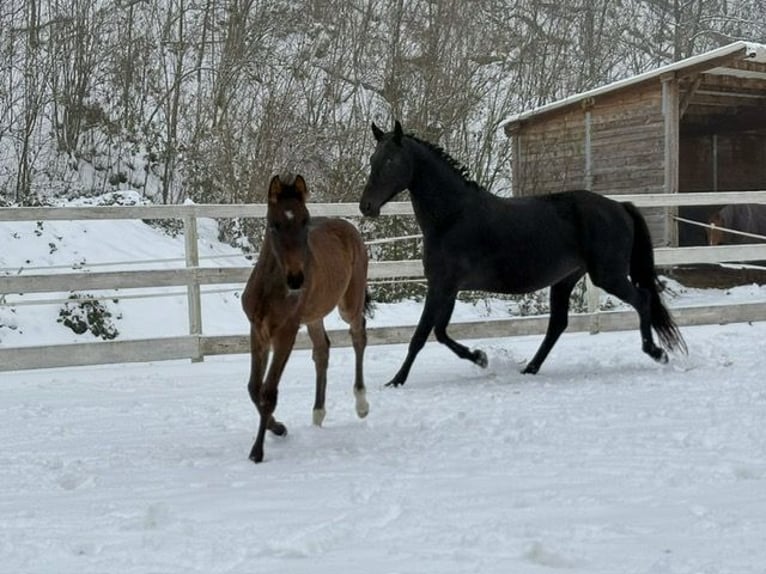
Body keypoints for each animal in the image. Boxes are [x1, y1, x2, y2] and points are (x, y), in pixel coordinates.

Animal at [242, 174, 371, 463]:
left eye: (305, 220)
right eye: (274, 224)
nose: (296, 280)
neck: (271, 288)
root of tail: (349, 227)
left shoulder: (285, 333)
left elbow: (268, 391)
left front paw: (257, 451)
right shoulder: (258, 331)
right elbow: (254, 388)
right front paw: (278, 428)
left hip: (349, 304)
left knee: (359, 335)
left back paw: (361, 404)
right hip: (314, 315)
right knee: (322, 350)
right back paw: (318, 412)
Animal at [359, 121, 687, 387]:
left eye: (391, 160)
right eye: (373, 159)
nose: (366, 206)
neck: (452, 216)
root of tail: (620, 206)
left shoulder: (442, 286)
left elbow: (420, 335)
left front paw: (396, 381)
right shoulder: (448, 288)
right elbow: (439, 332)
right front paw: (480, 357)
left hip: (607, 275)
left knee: (642, 299)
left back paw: (655, 352)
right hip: (566, 279)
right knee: (557, 324)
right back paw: (529, 368)